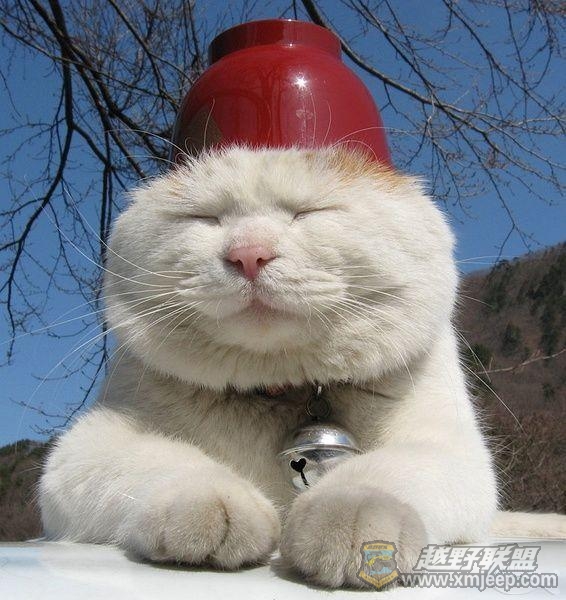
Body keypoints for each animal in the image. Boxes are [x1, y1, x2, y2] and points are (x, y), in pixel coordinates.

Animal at [39, 146, 565, 588]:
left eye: (308, 212)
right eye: (205, 218)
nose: (247, 254)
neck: (281, 387)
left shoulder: (451, 448)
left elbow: (389, 469)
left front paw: (347, 511)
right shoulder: (87, 447)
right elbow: (161, 460)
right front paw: (208, 505)